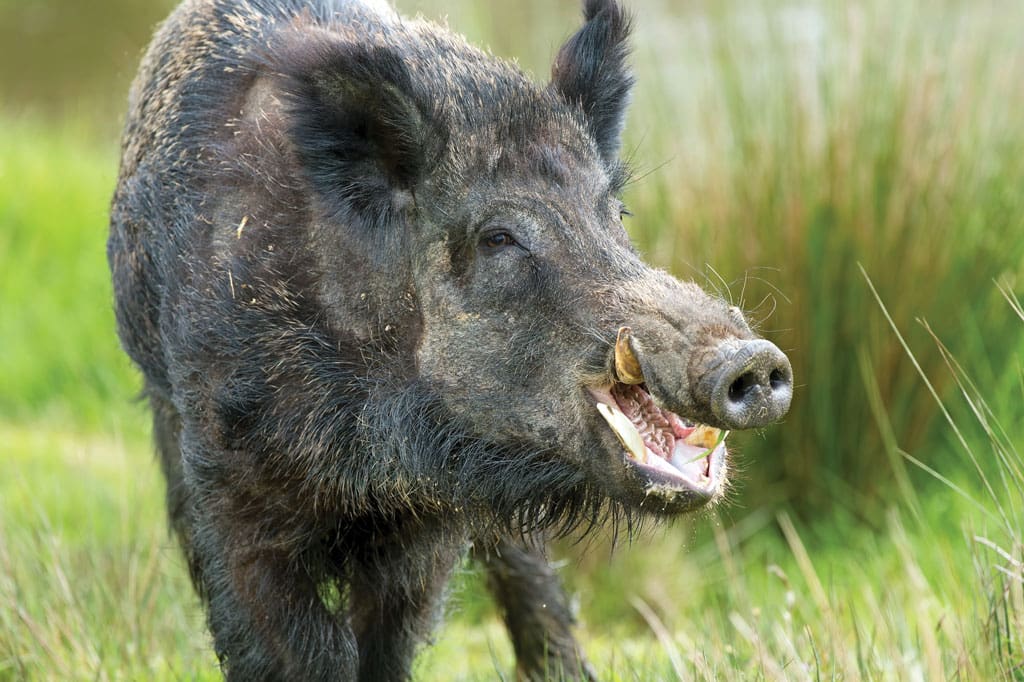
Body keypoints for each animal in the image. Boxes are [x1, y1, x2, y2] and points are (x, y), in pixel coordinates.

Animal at [107, 0, 793, 679]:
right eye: (498, 238)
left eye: (614, 215)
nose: (752, 360)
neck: (363, 454)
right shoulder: (229, 485)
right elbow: (292, 646)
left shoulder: (429, 520)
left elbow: (390, 636)